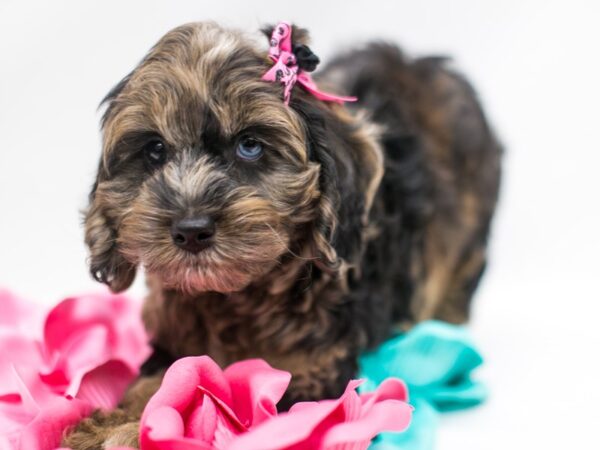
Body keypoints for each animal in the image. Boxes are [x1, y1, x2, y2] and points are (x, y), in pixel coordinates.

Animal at [63, 22, 502, 450]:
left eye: (250, 146)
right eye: (154, 150)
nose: (191, 230)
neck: (237, 299)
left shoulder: (315, 378)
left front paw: (130, 429)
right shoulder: (173, 339)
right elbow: (162, 380)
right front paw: (112, 421)